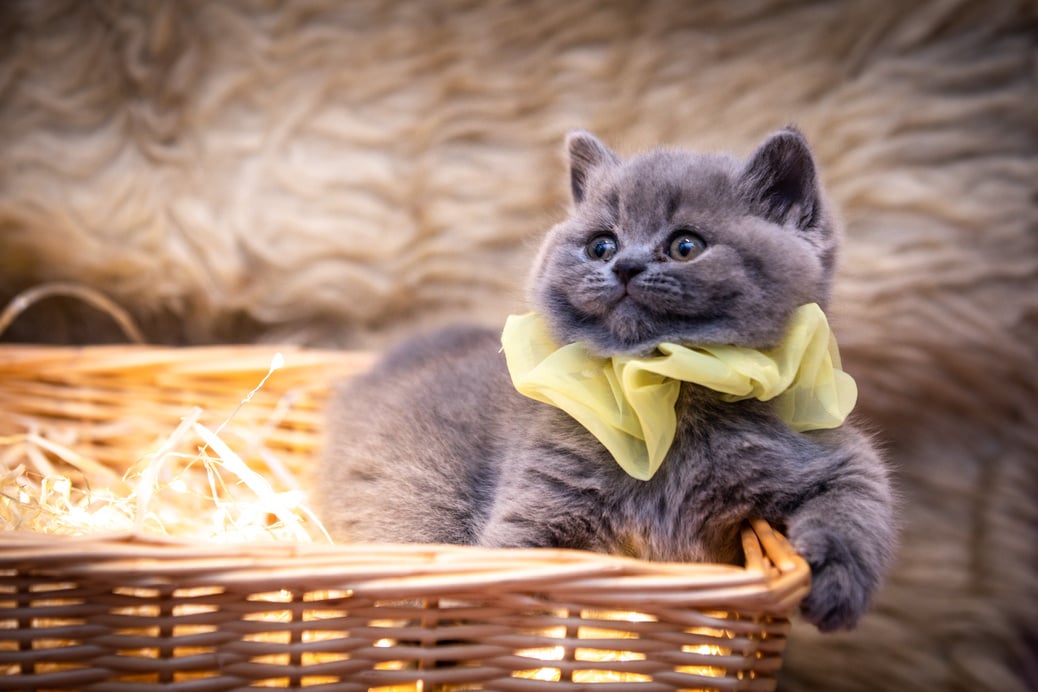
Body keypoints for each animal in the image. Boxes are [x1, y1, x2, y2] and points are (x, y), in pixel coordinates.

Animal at [313, 128, 892, 634]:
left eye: (685, 246)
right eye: (601, 246)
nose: (626, 266)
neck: (659, 391)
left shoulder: (825, 450)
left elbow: (858, 502)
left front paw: (835, 582)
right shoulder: (538, 502)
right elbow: (501, 577)